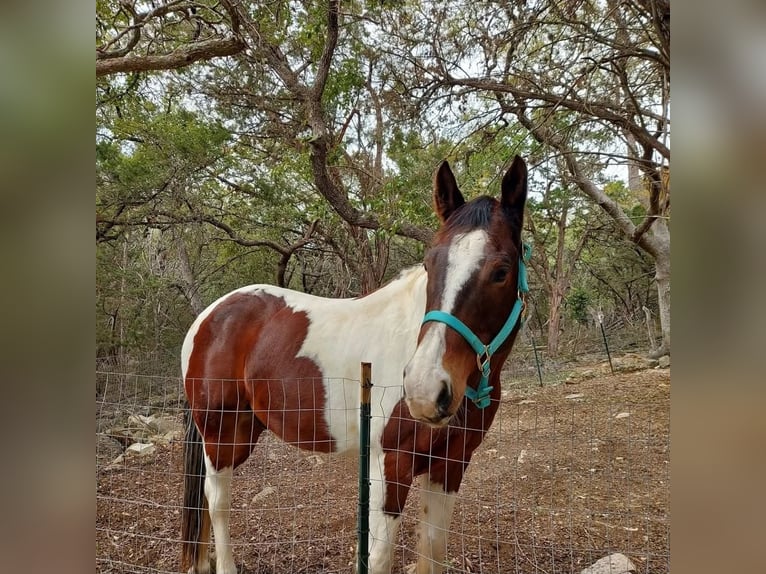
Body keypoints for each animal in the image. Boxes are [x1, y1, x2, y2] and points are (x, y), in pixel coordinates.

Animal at [181, 155, 529, 574]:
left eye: (501, 271)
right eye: (430, 264)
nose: (424, 390)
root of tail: (209, 316)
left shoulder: (450, 465)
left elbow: (434, 546)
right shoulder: (390, 465)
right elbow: (378, 557)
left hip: (244, 430)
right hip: (220, 433)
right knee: (217, 502)